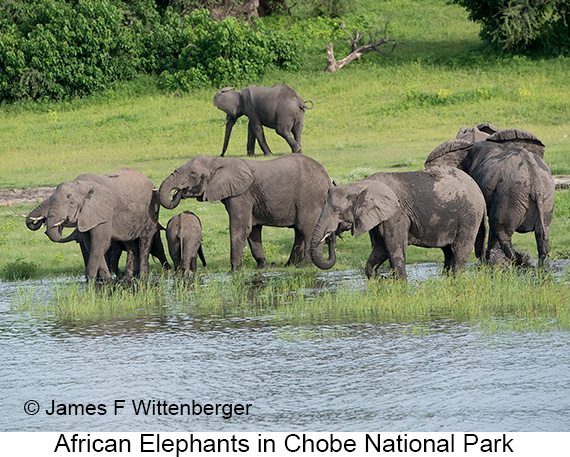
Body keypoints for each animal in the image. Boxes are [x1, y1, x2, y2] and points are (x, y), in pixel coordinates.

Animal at [158, 153, 330, 270]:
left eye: (193, 173)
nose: (179, 191)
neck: (219, 162)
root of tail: (326, 176)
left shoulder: (240, 195)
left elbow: (240, 228)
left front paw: (234, 270)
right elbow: (252, 230)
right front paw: (262, 266)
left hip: (309, 197)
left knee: (306, 228)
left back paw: (304, 265)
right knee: (299, 231)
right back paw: (289, 265)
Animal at [308, 166, 486, 280]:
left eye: (336, 210)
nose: (330, 237)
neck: (361, 184)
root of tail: (478, 189)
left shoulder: (396, 214)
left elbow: (394, 248)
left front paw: (398, 284)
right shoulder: (379, 218)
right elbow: (380, 249)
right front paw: (382, 279)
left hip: (469, 216)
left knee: (459, 249)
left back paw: (456, 280)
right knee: (447, 251)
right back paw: (445, 279)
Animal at [424, 126, 552, 266]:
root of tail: (536, 183)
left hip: (511, 193)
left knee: (500, 229)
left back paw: (513, 261)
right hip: (546, 198)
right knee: (542, 235)